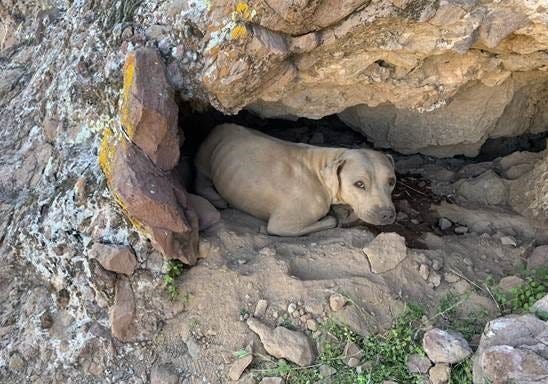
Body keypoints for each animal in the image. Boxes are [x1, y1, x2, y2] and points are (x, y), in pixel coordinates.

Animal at [195, 124, 396, 237]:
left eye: (391, 181)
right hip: (205, 158)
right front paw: (332, 217)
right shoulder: (282, 225)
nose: (387, 214)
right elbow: (331, 221)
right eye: (359, 184)